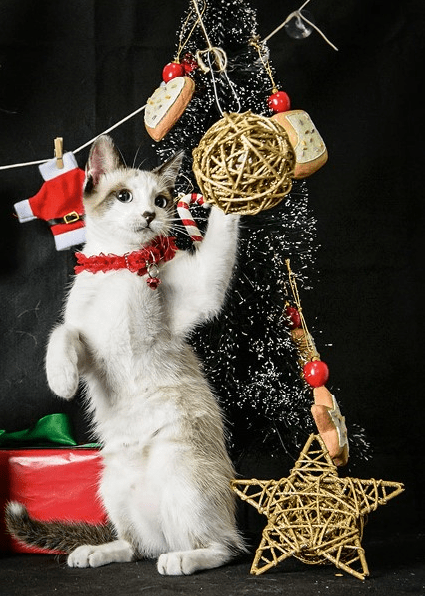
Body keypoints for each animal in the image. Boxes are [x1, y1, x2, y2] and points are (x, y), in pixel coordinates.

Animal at [6, 134, 243, 572]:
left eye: (162, 200)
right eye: (124, 196)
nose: (149, 215)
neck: (121, 263)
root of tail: (168, 535)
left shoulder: (198, 297)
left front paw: (231, 185)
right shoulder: (86, 346)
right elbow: (61, 333)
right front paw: (62, 381)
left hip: (183, 476)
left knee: (225, 547)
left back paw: (184, 559)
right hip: (111, 483)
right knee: (137, 547)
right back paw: (95, 551)